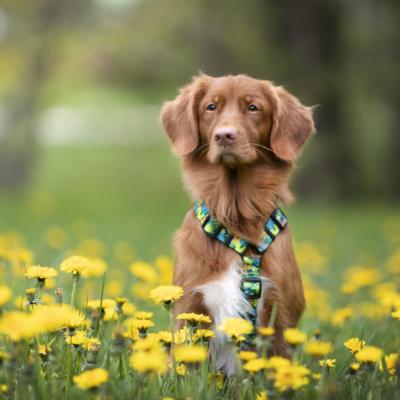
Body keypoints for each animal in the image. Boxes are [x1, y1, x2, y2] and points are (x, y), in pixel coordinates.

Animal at [161, 73, 314, 374]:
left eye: (253, 108)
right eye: (210, 107)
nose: (224, 135)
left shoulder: (281, 317)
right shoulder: (188, 308)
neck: (235, 219)